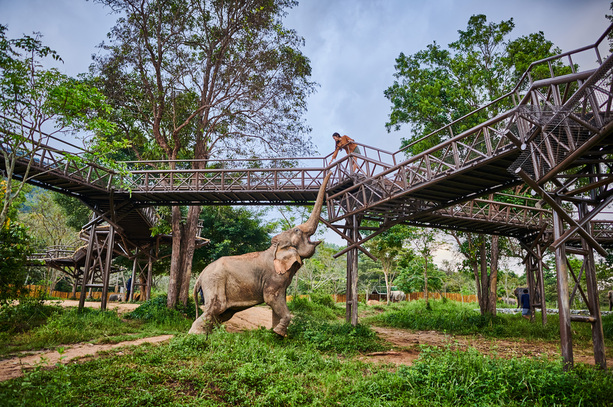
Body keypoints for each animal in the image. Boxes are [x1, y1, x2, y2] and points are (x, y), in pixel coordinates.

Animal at [189, 173, 332, 338]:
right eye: (297, 230)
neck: (275, 248)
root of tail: (200, 275)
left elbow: (279, 300)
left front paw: (277, 335)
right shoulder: (273, 277)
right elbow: (271, 298)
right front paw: (278, 332)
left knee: (220, 314)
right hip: (214, 283)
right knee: (216, 308)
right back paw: (195, 336)